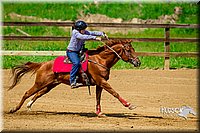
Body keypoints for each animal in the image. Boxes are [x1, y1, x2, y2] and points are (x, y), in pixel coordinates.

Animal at [8, 39, 141, 115]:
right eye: (129, 50)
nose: (138, 62)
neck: (100, 59)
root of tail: (43, 64)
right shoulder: (102, 81)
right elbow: (115, 93)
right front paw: (129, 105)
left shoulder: (99, 84)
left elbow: (98, 98)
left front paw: (99, 113)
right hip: (40, 83)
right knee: (27, 93)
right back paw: (13, 109)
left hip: (49, 85)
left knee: (38, 94)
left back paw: (28, 106)